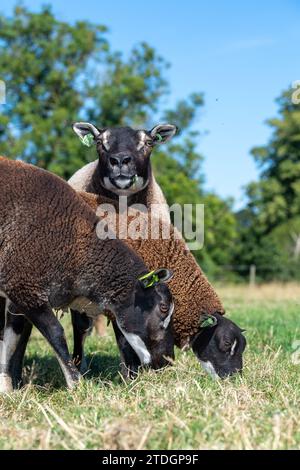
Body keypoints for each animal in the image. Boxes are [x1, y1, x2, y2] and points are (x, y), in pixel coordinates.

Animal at [0, 158, 176, 392]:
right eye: (163, 308)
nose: (168, 362)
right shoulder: (23, 286)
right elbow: (55, 333)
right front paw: (75, 384)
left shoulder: (18, 295)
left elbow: (11, 338)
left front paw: (6, 388)